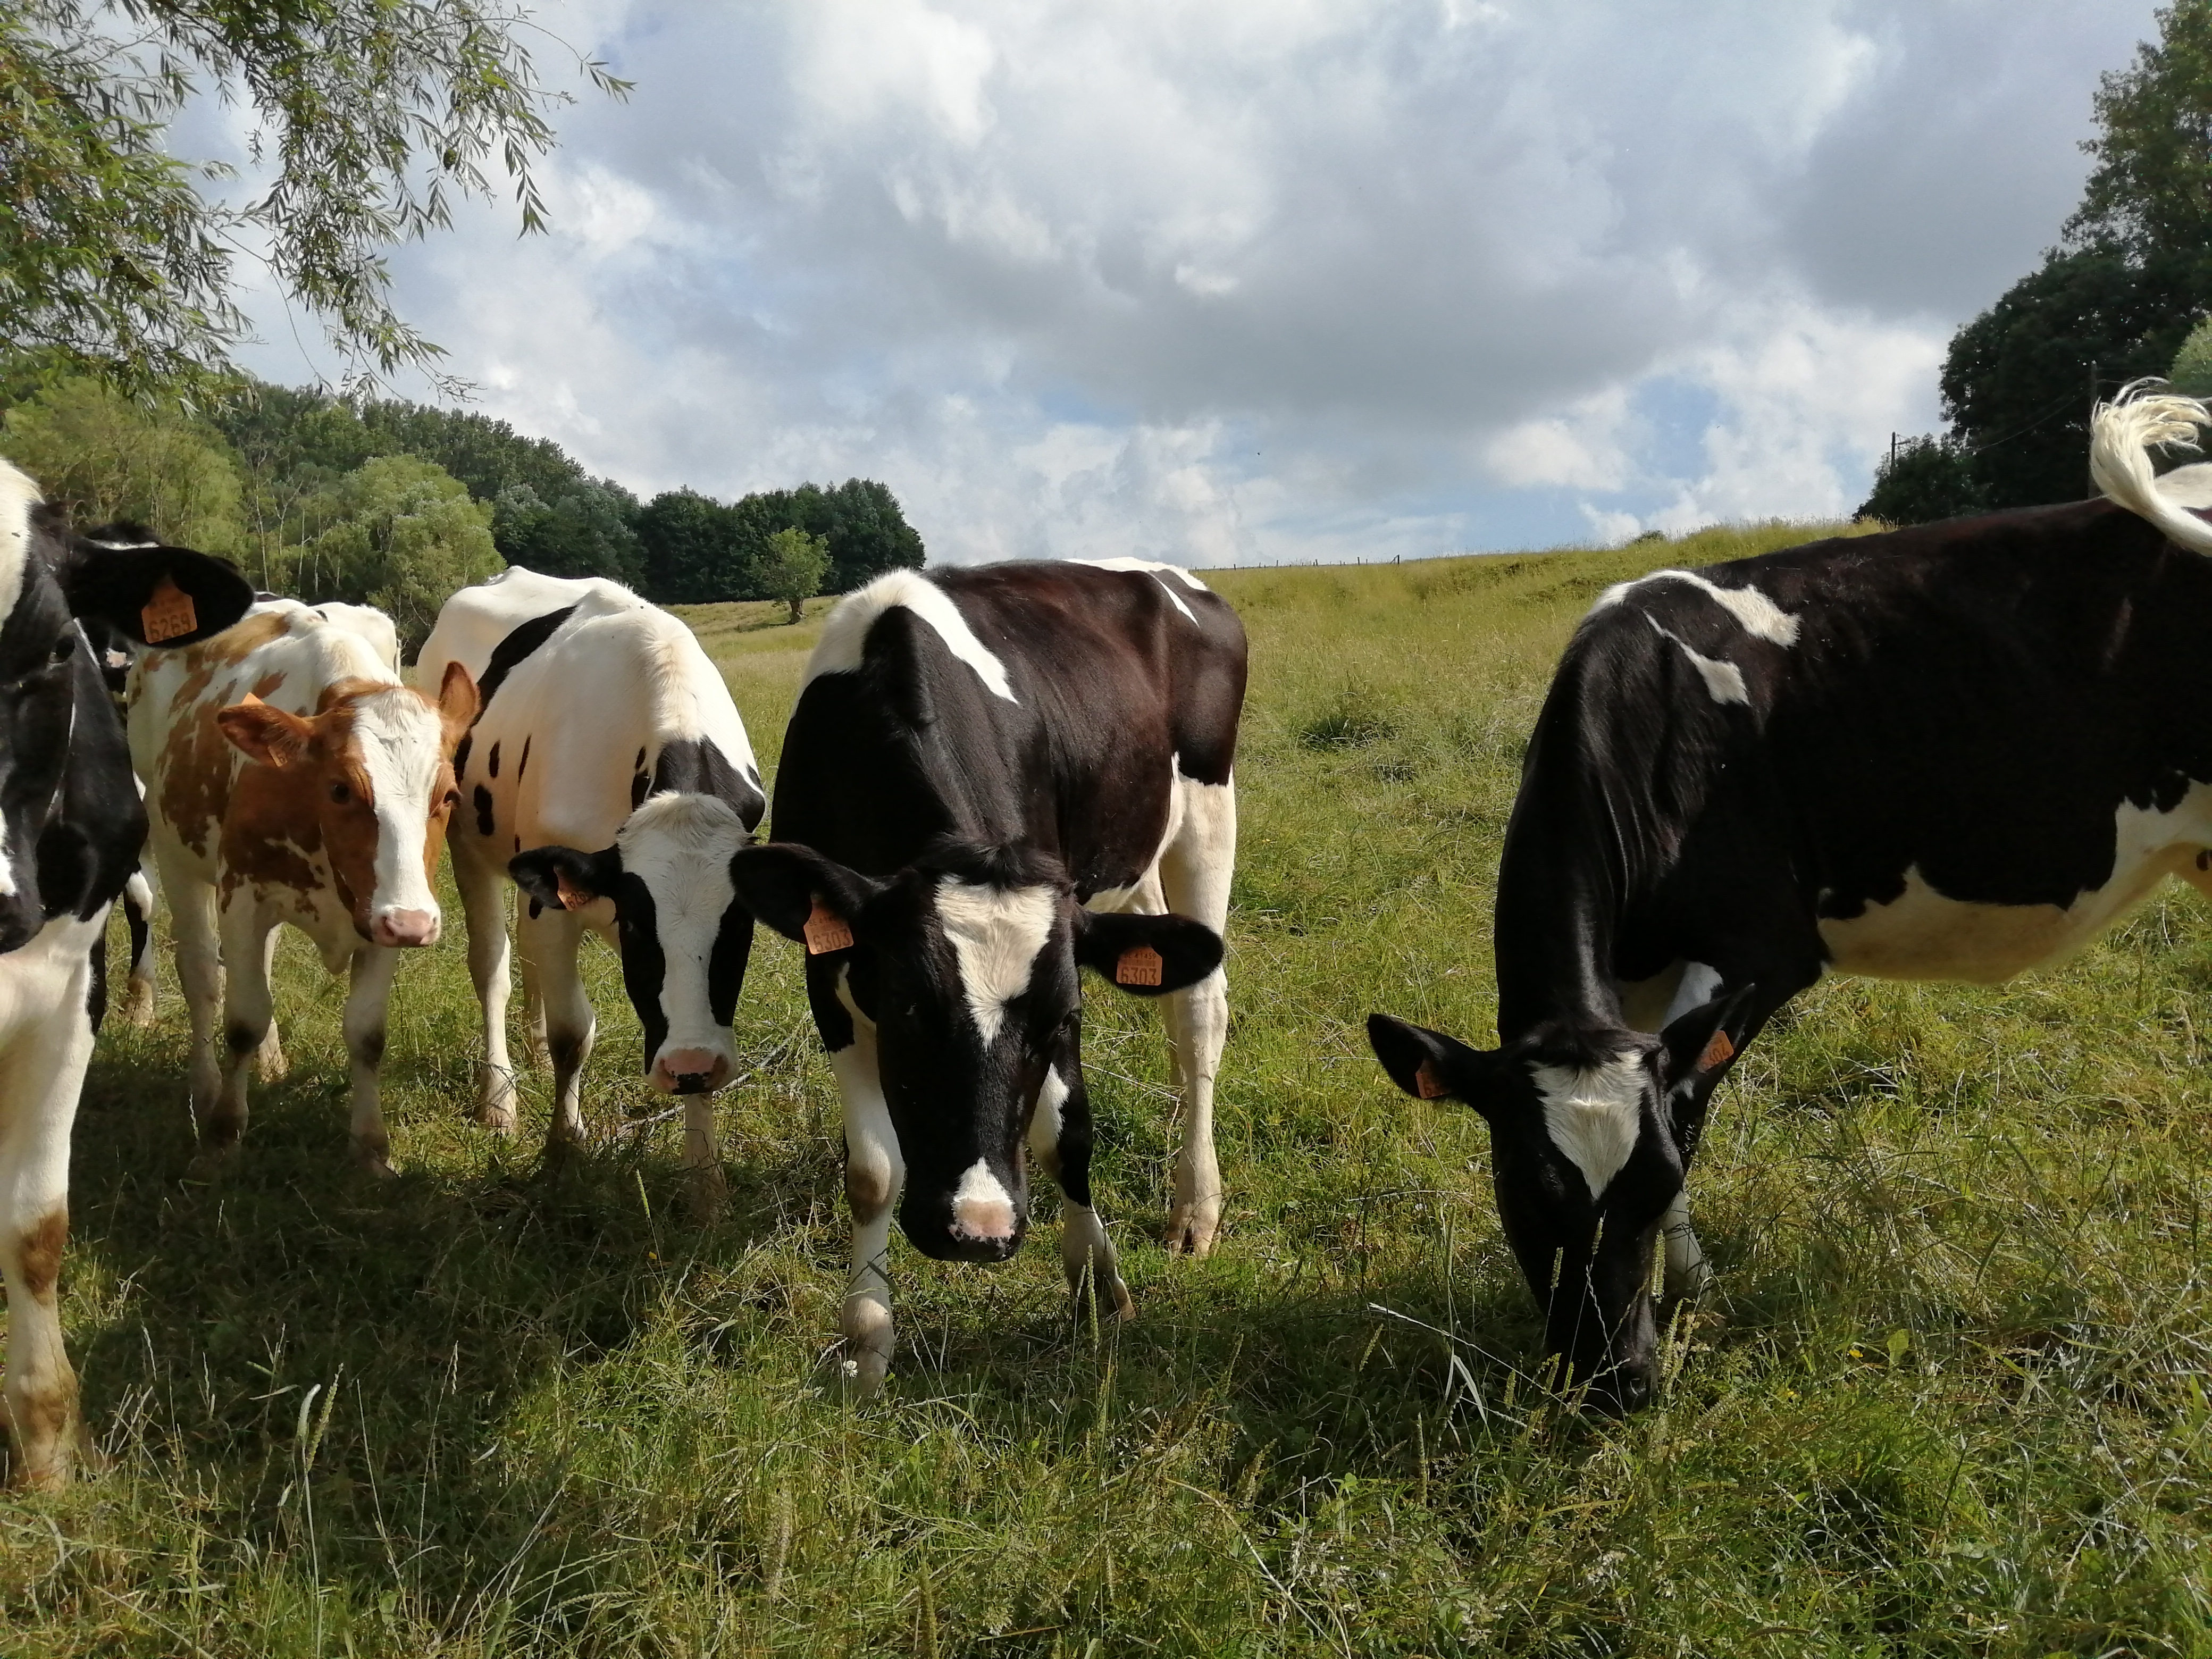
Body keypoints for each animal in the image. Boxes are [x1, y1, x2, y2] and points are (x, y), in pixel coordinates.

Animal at [129, 597, 477, 1176]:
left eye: (448, 795)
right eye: (340, 789)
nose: (415, 926)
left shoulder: (384, 913)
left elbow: (367, 1033)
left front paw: (372, 1150)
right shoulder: (243, 897)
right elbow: (242, 1017)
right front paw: (223, 1134)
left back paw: (270, 1062)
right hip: (174, 851)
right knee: (202, 975)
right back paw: (205, 1087)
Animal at [416, 569, 765, 1204]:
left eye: (739, 927)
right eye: (638, 927)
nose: (688, 1066)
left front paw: (706, 1184)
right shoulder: (557, 907)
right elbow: (573, 1034)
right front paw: (563, 1149)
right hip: (465, 842)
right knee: (492, 965)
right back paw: (498, 1098)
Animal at [728, 560, 1243, 1392]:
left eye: (1061, 1019)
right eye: (905, 1008)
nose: (979, 1229)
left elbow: (1068, 1135)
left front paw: (1096, 1283)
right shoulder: (826, 971)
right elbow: (873, 1170)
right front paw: (867, 1337)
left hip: (1206, 812)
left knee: (1199, 1009)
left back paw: (1195, 1205)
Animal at [1367, 384, 2212, 1413]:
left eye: (1653, 1184)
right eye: (1531, 1192)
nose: (1619, 1382)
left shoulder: (1764, 949)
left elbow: (1693, 1096)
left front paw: (1692, 1288)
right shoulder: (1633, 976)